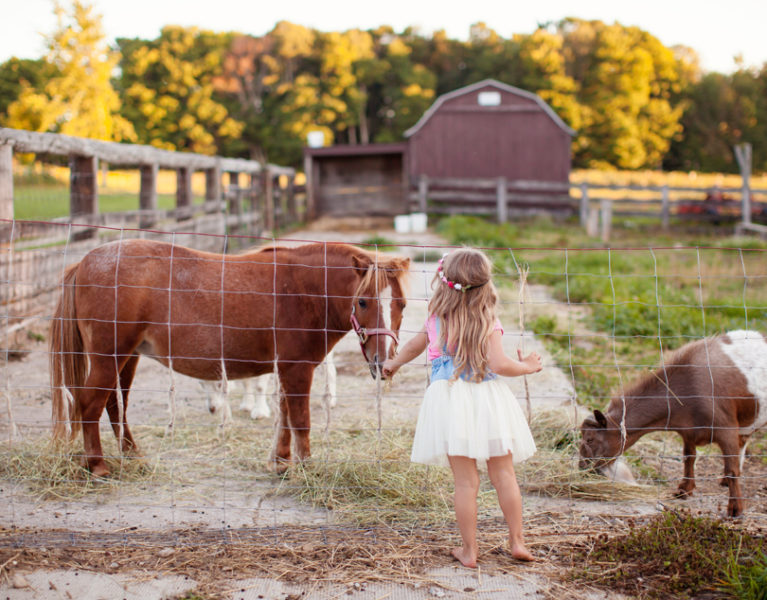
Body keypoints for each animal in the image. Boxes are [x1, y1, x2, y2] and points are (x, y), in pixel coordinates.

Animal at [51, 239, 412, 474]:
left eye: (402, 304)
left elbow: (284, 418)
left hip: (127, 358)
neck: (303, 288)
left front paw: (281, 462)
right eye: (363, 302)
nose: (382, 361)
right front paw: (305, 467)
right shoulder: (297, 369)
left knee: (115, 405)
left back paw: (132, 455)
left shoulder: (286, 369)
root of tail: (84, 263)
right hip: (109, 357)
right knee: (90, 404)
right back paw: (97, 465)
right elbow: (300, 420)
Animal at [584, 330, 767, 516]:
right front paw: (684, 490)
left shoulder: (725, 428)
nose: (582, 468)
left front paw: (735, 508)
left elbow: (732, 470)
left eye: (590, 439)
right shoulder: (688, 432)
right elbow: (689, 457)